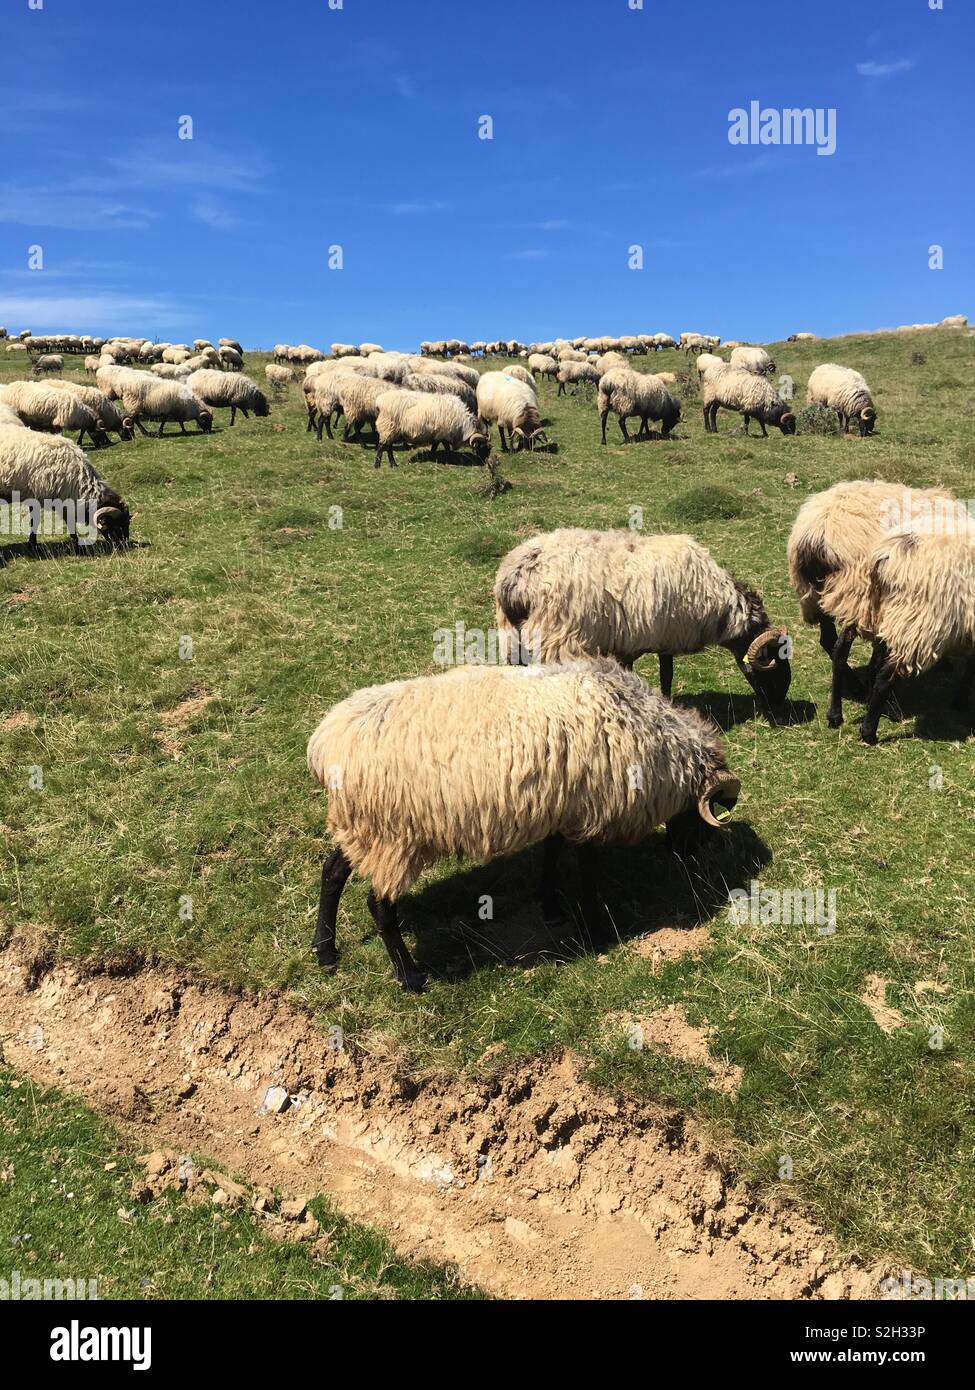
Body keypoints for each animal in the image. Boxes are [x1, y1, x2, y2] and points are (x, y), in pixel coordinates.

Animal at [0, 425, 130, 550]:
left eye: (127, 523)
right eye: (117, 526)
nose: (124, 545)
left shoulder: (62, 498)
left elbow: (69, 521)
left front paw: (76, 543)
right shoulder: (38, 497)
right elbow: (35, 521)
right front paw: (33, 545)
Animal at [304, 658, 739, 989]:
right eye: (704, 814)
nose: (688, 854)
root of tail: (324, 746)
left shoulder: (562, 806)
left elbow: (551, 852)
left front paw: (550, 905)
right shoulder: (592, 809)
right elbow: (587, 869)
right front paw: (595, 927)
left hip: (361, 827)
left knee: (332, 871)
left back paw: (325, 949)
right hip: (392, 835)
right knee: (378, 904)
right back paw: (410, 977)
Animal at [495, 528, 790, 706]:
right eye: (774, 661)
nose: (778, 704)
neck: (720, 605)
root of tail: (516, 579)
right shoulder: (665, 636)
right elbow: (666, 675)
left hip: (511, 637)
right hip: (557, 637)